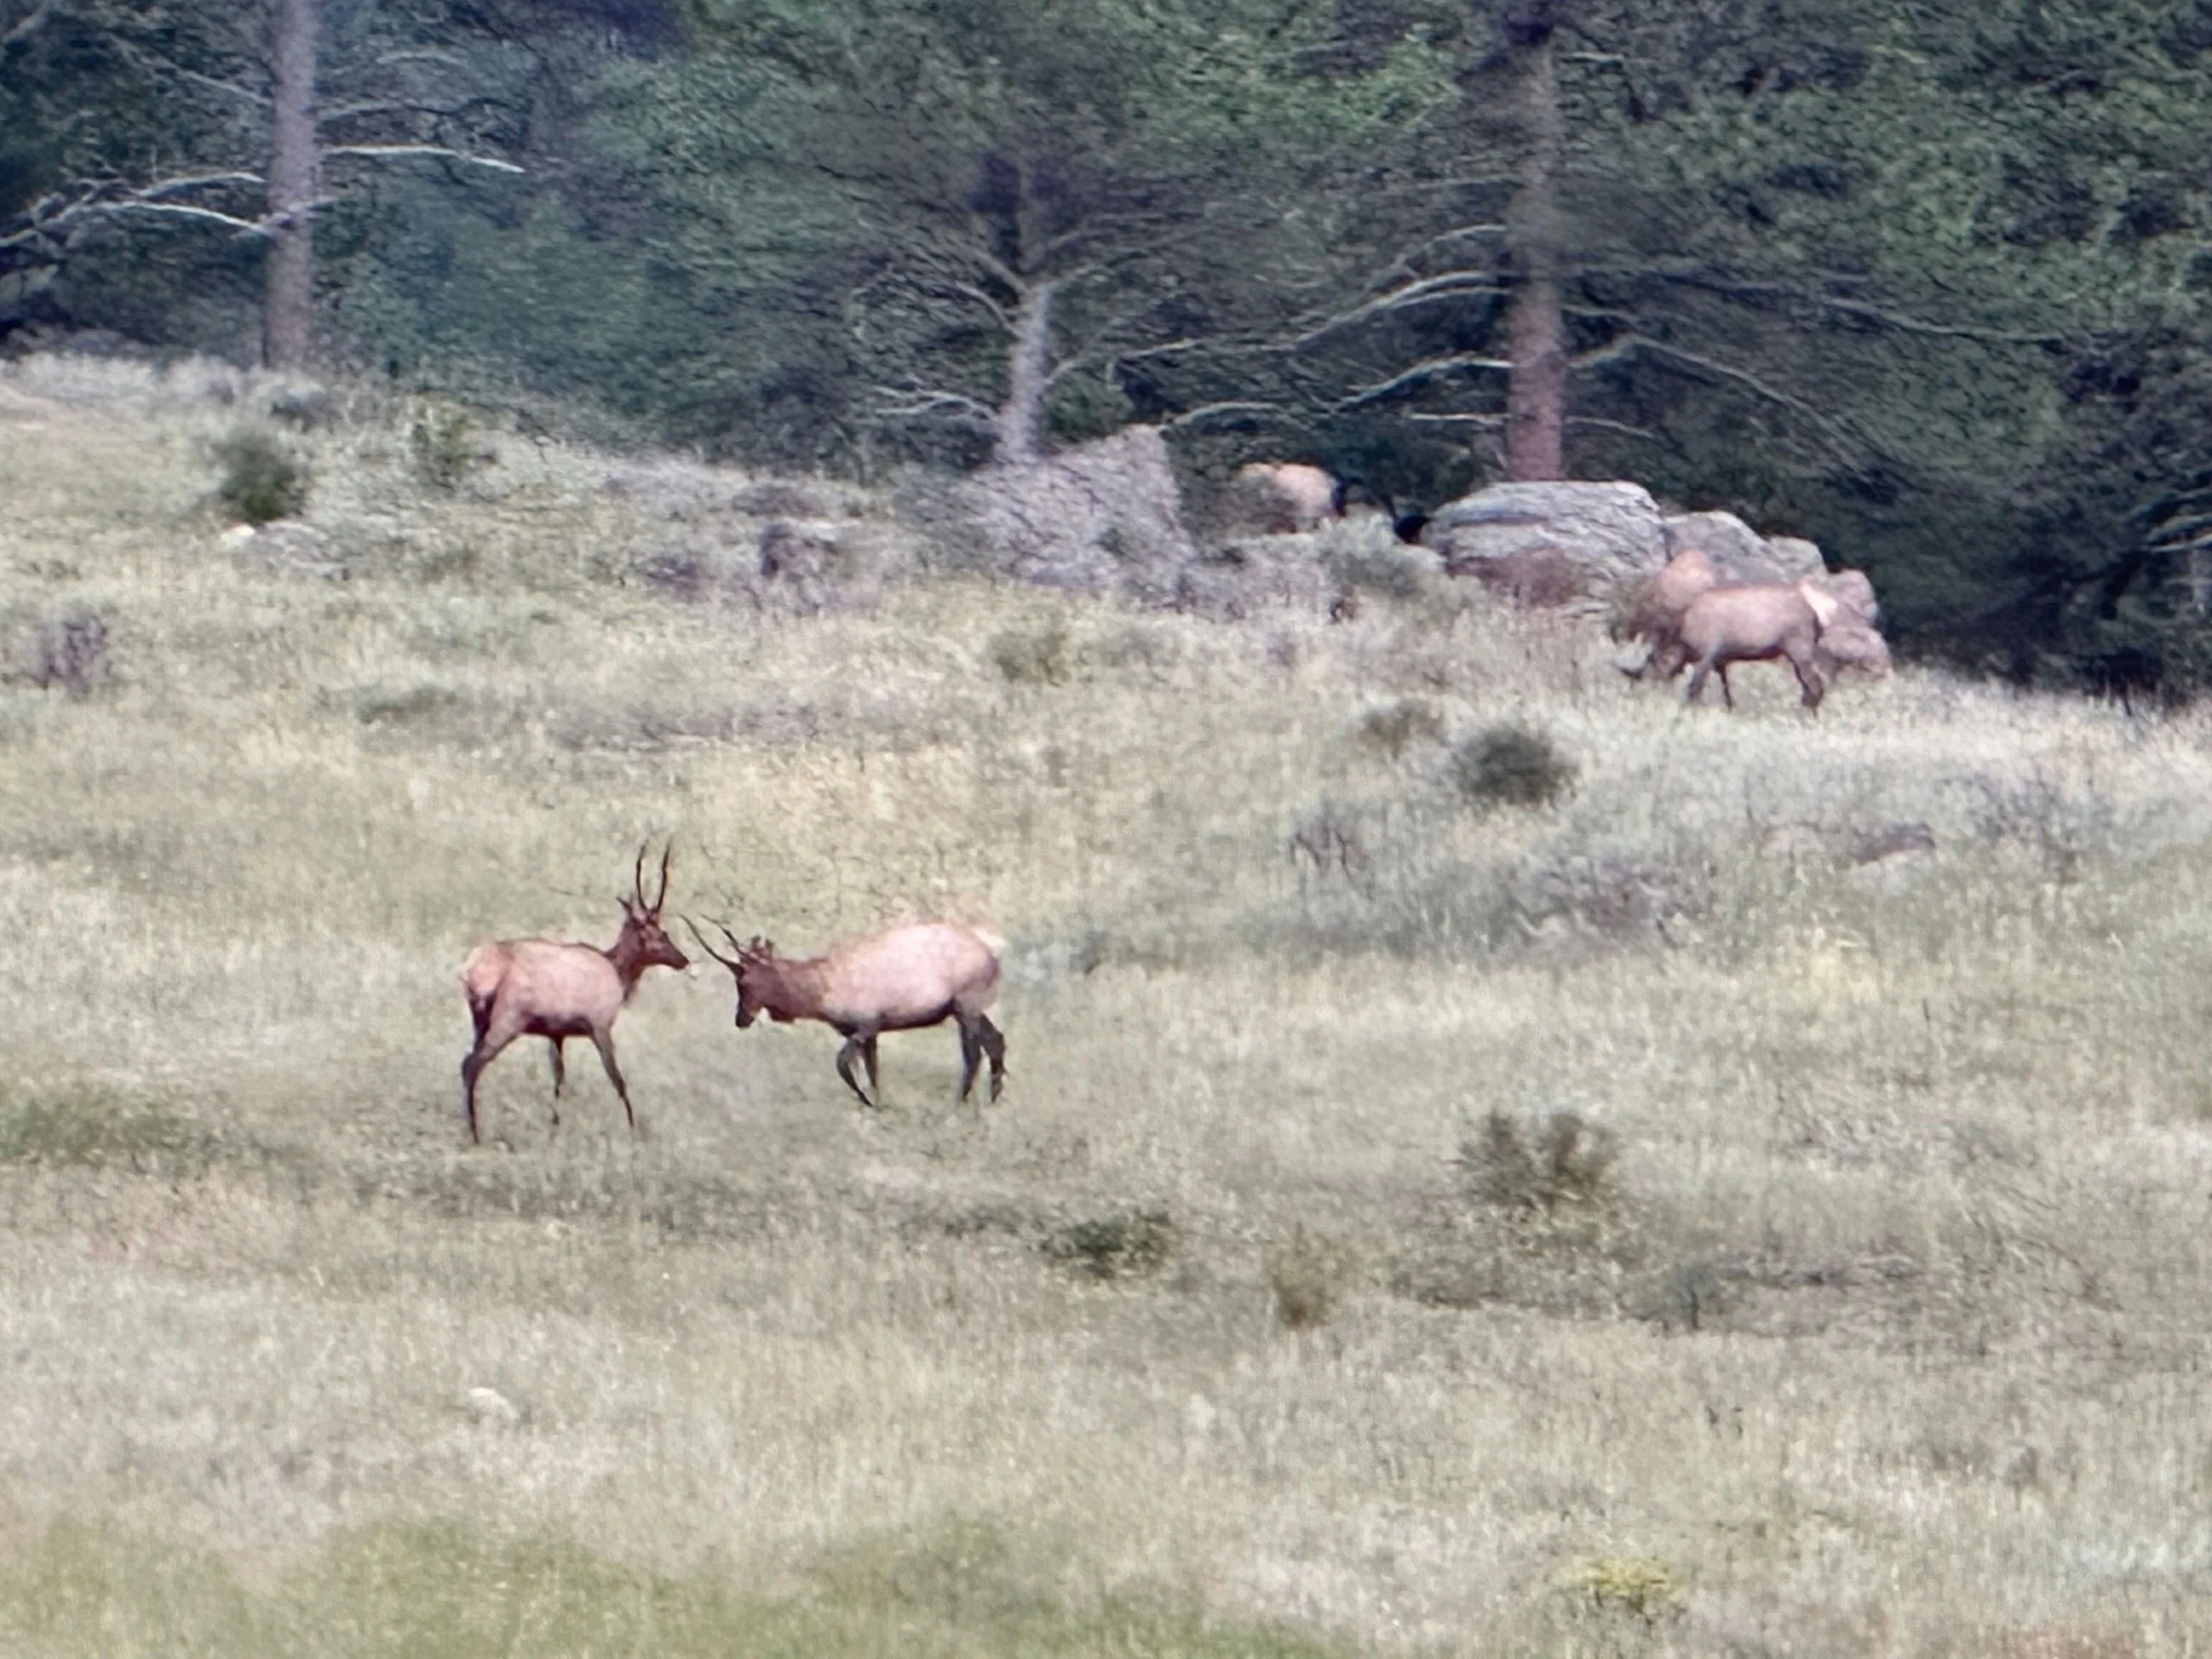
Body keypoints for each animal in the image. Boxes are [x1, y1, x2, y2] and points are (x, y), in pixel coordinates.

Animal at [456, 841, 689, 1145]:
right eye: (662, 934)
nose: (683, 959)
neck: (619, 975)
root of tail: (471, 972)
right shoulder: (600, 1023)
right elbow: (618, 1079)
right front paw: (633, 1129)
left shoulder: (556, 1031)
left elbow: (558, 1078)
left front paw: (554, 1126)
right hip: (509, 1018)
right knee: (472, 1064)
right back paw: (475, 1133)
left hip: (479, 1020)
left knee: (467, 1062)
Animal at [685, 918, 1007, 1109]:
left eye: (745, 982)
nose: (741, 1018)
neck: (820, 993)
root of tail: (993, 959)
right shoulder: (863, 1031)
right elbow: (873, 1071)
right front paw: (877, 1104)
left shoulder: (868, 1022)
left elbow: (842, 1063)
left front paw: (867, 1101)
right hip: (966, 1007)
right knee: (996, 1041)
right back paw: (992, 1099)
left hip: (967, 1003)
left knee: (974, 1053)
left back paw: (959, 1104)